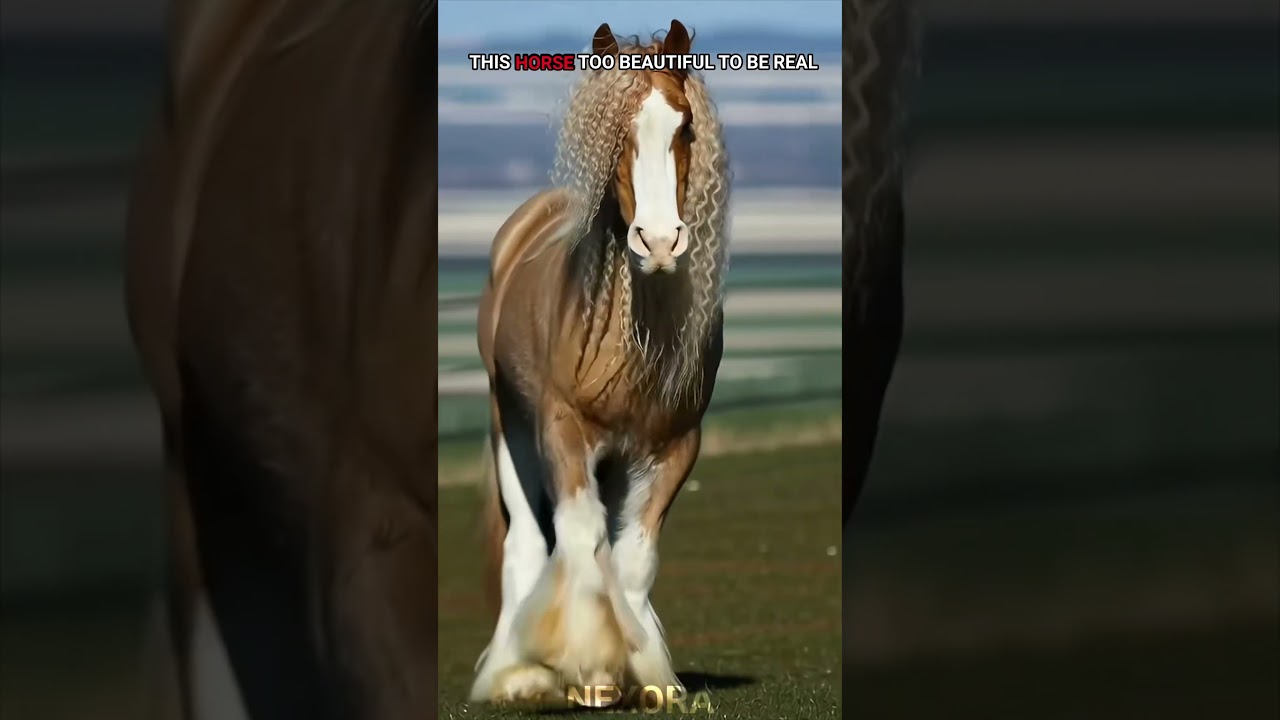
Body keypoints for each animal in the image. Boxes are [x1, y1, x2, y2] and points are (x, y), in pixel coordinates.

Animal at [467, 19, 731, 708]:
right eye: (615, 135)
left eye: (684, 128)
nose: (660, 242)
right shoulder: (562, 432)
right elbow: (581, 537)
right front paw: (588, 671)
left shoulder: (674, 446)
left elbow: (632, 558)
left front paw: (647, 676)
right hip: (512, 430)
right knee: (528, 544)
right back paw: (516, 675)